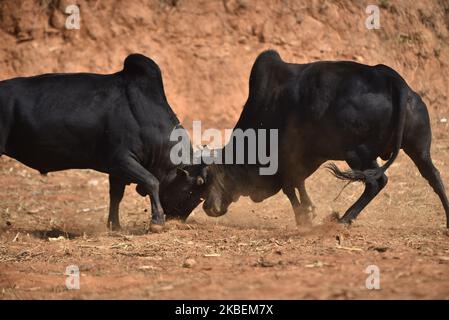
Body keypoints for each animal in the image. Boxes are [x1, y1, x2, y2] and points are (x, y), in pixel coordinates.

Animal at [0, 53, 203, 231]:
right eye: (192, 191)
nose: (178, 221)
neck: (145, 115)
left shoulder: (118, 170)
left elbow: (116, 196)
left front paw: (115, 226)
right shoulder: (121, 159)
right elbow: (152, 181)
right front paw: (157, 222)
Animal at [200, 50, 448, 229]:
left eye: (213, 174)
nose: (208, 206)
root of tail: (393, 80)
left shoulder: (286, 158)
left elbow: (290, 187)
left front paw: (304, 217)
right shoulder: (307, 158)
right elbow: (297, 183)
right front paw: (308, 211)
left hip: (357, 153)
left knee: (377, 182)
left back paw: (344, 219)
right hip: (418, 149)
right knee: (434, 177)